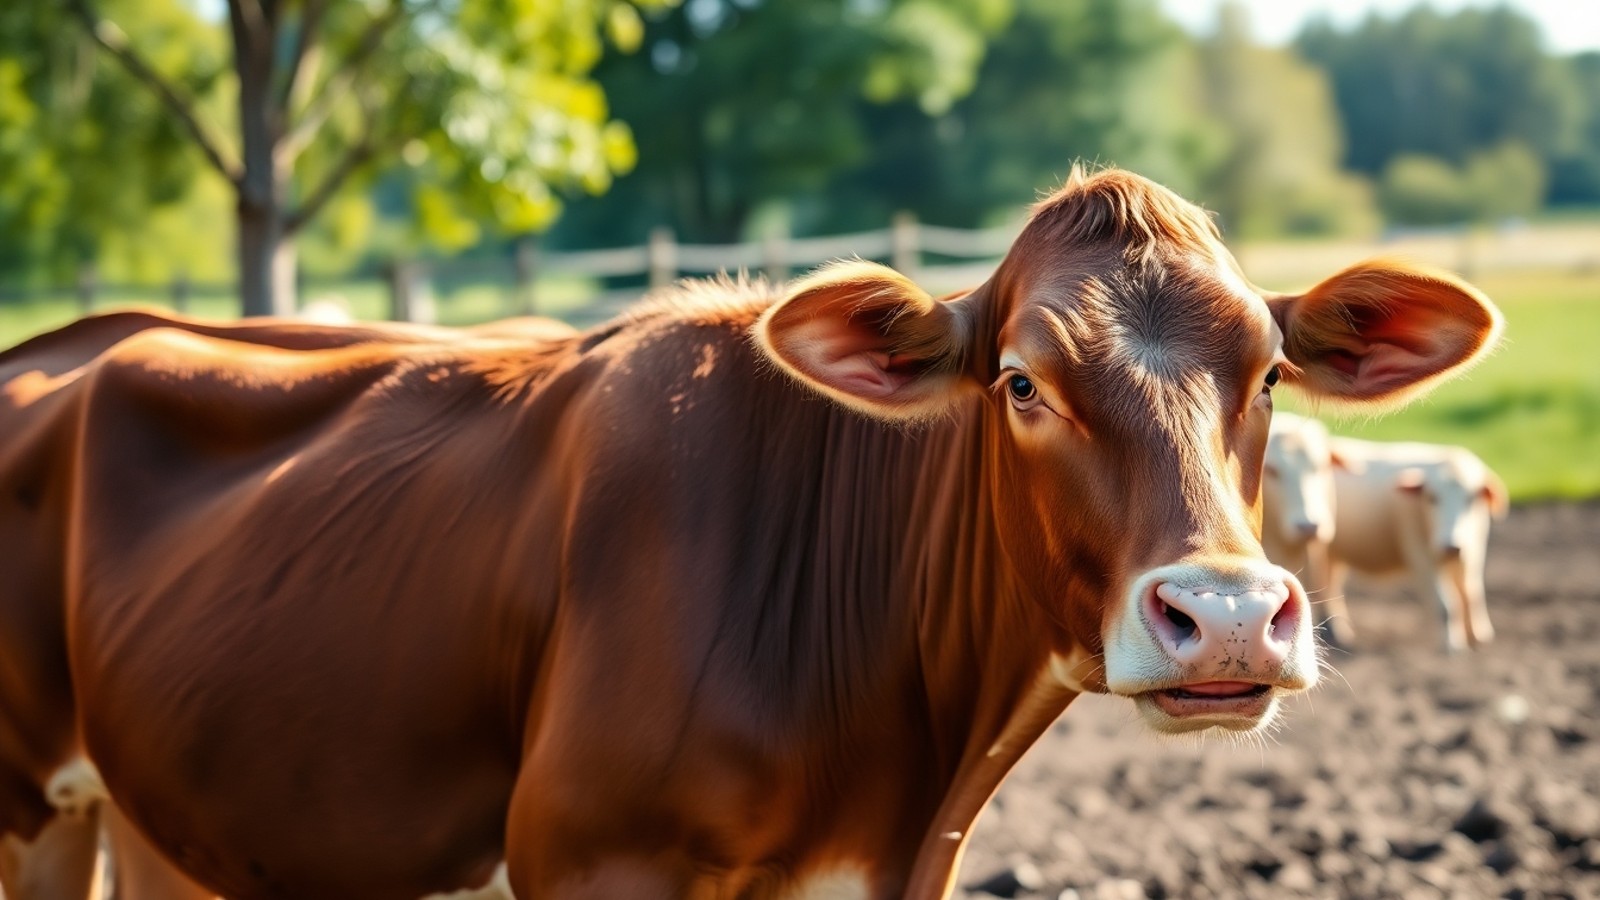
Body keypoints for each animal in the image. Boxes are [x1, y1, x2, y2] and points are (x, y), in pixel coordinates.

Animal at [0, 168, 1501, 899]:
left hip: (158, 816)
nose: (1229, 618)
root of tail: (73, 341)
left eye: (1270, 373)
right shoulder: (588, 858)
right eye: (1021, 381)